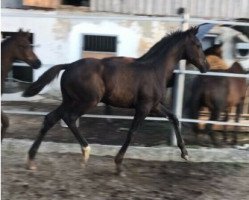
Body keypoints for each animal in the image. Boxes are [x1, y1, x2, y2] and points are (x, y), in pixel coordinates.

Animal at [23, 26, 210, 175]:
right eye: (198, 45)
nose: (206, 67)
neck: (155, 69)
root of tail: (68, 66)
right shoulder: (143, 107)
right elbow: (132, 132)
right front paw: (119, 165)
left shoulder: (155, 105)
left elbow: (174, 118)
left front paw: (185, 153)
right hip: (87, 101)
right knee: (70, 118)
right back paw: (85, 151)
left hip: (69, 100)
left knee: (51, 118)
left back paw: (31, 160)